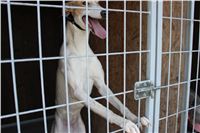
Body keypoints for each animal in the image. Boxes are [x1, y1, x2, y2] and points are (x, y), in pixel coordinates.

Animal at [52, 1, 149, 133]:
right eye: (84, 3)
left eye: (98, 2)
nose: (105, 12)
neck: (80, 48)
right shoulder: (79, 91)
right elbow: (105, 109)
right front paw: (125, 123)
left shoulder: (102, 85)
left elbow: (120, 104)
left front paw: (135, 118)